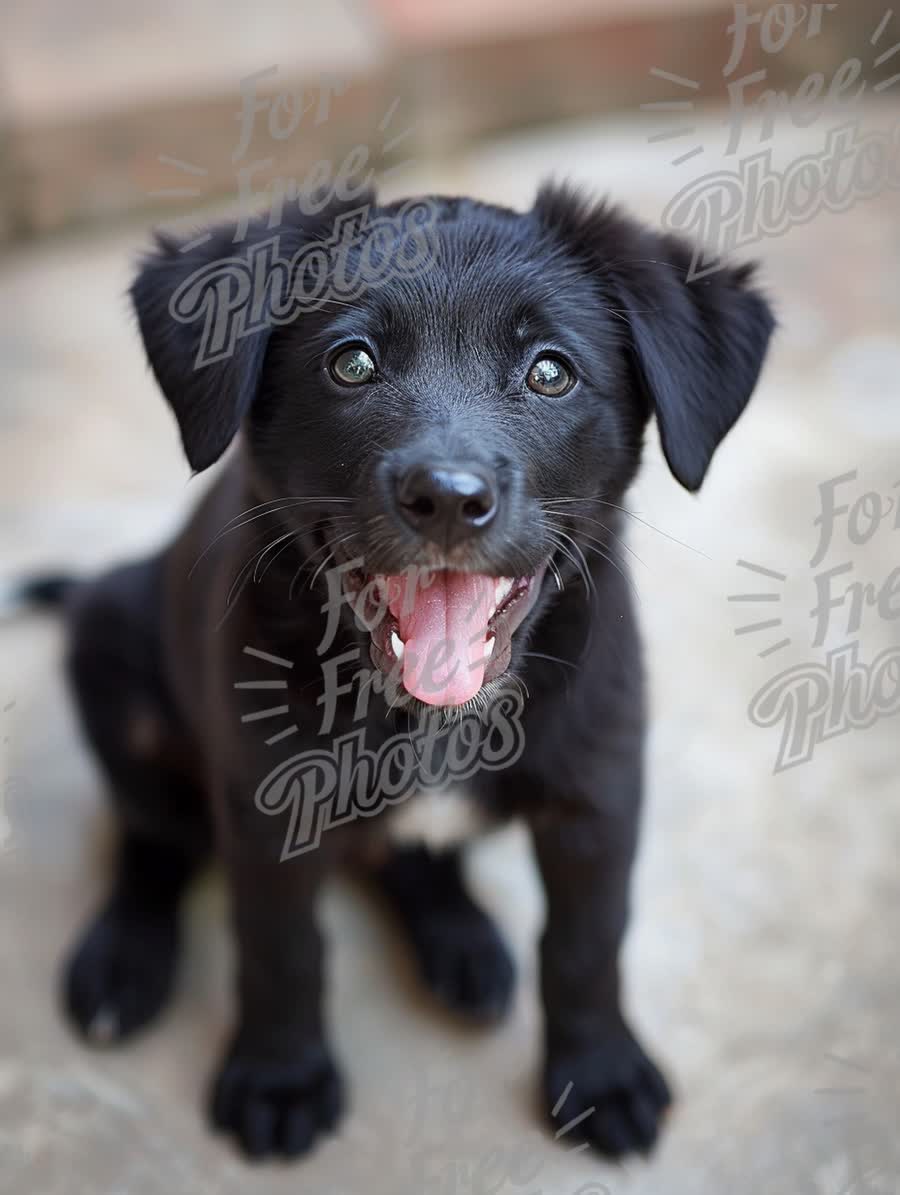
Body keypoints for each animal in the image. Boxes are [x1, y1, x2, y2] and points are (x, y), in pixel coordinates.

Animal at [59, 186, 774, 1156]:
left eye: (550, 372)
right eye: (352, 363)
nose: (446, 498)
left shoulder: (598, 793)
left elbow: (586, 945)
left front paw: (600, 1073)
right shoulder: (267, 804)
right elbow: (279, 947)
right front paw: (280, 1075)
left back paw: (462, 941)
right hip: (106, 639)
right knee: (153, 834)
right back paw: (123, 957)